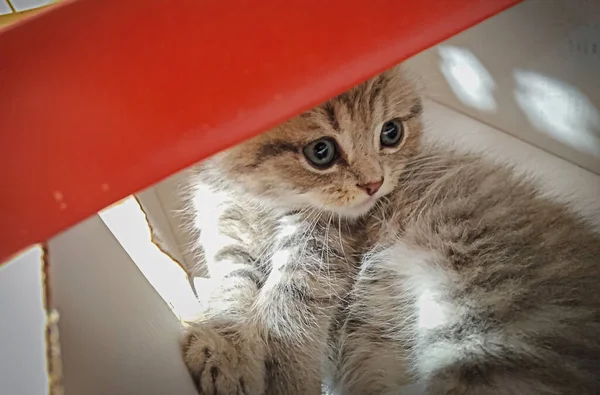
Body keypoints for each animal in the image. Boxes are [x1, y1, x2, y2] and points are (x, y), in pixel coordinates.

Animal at [182, 66, 600, 394]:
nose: (374, 184)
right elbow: (231, 287)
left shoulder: (324, 247)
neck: (266, 203)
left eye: (391, 133)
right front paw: (225, 346)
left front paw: (286, 376)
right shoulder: (225, 229)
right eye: (321, 151)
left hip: (485, 331)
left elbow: (289, 305)